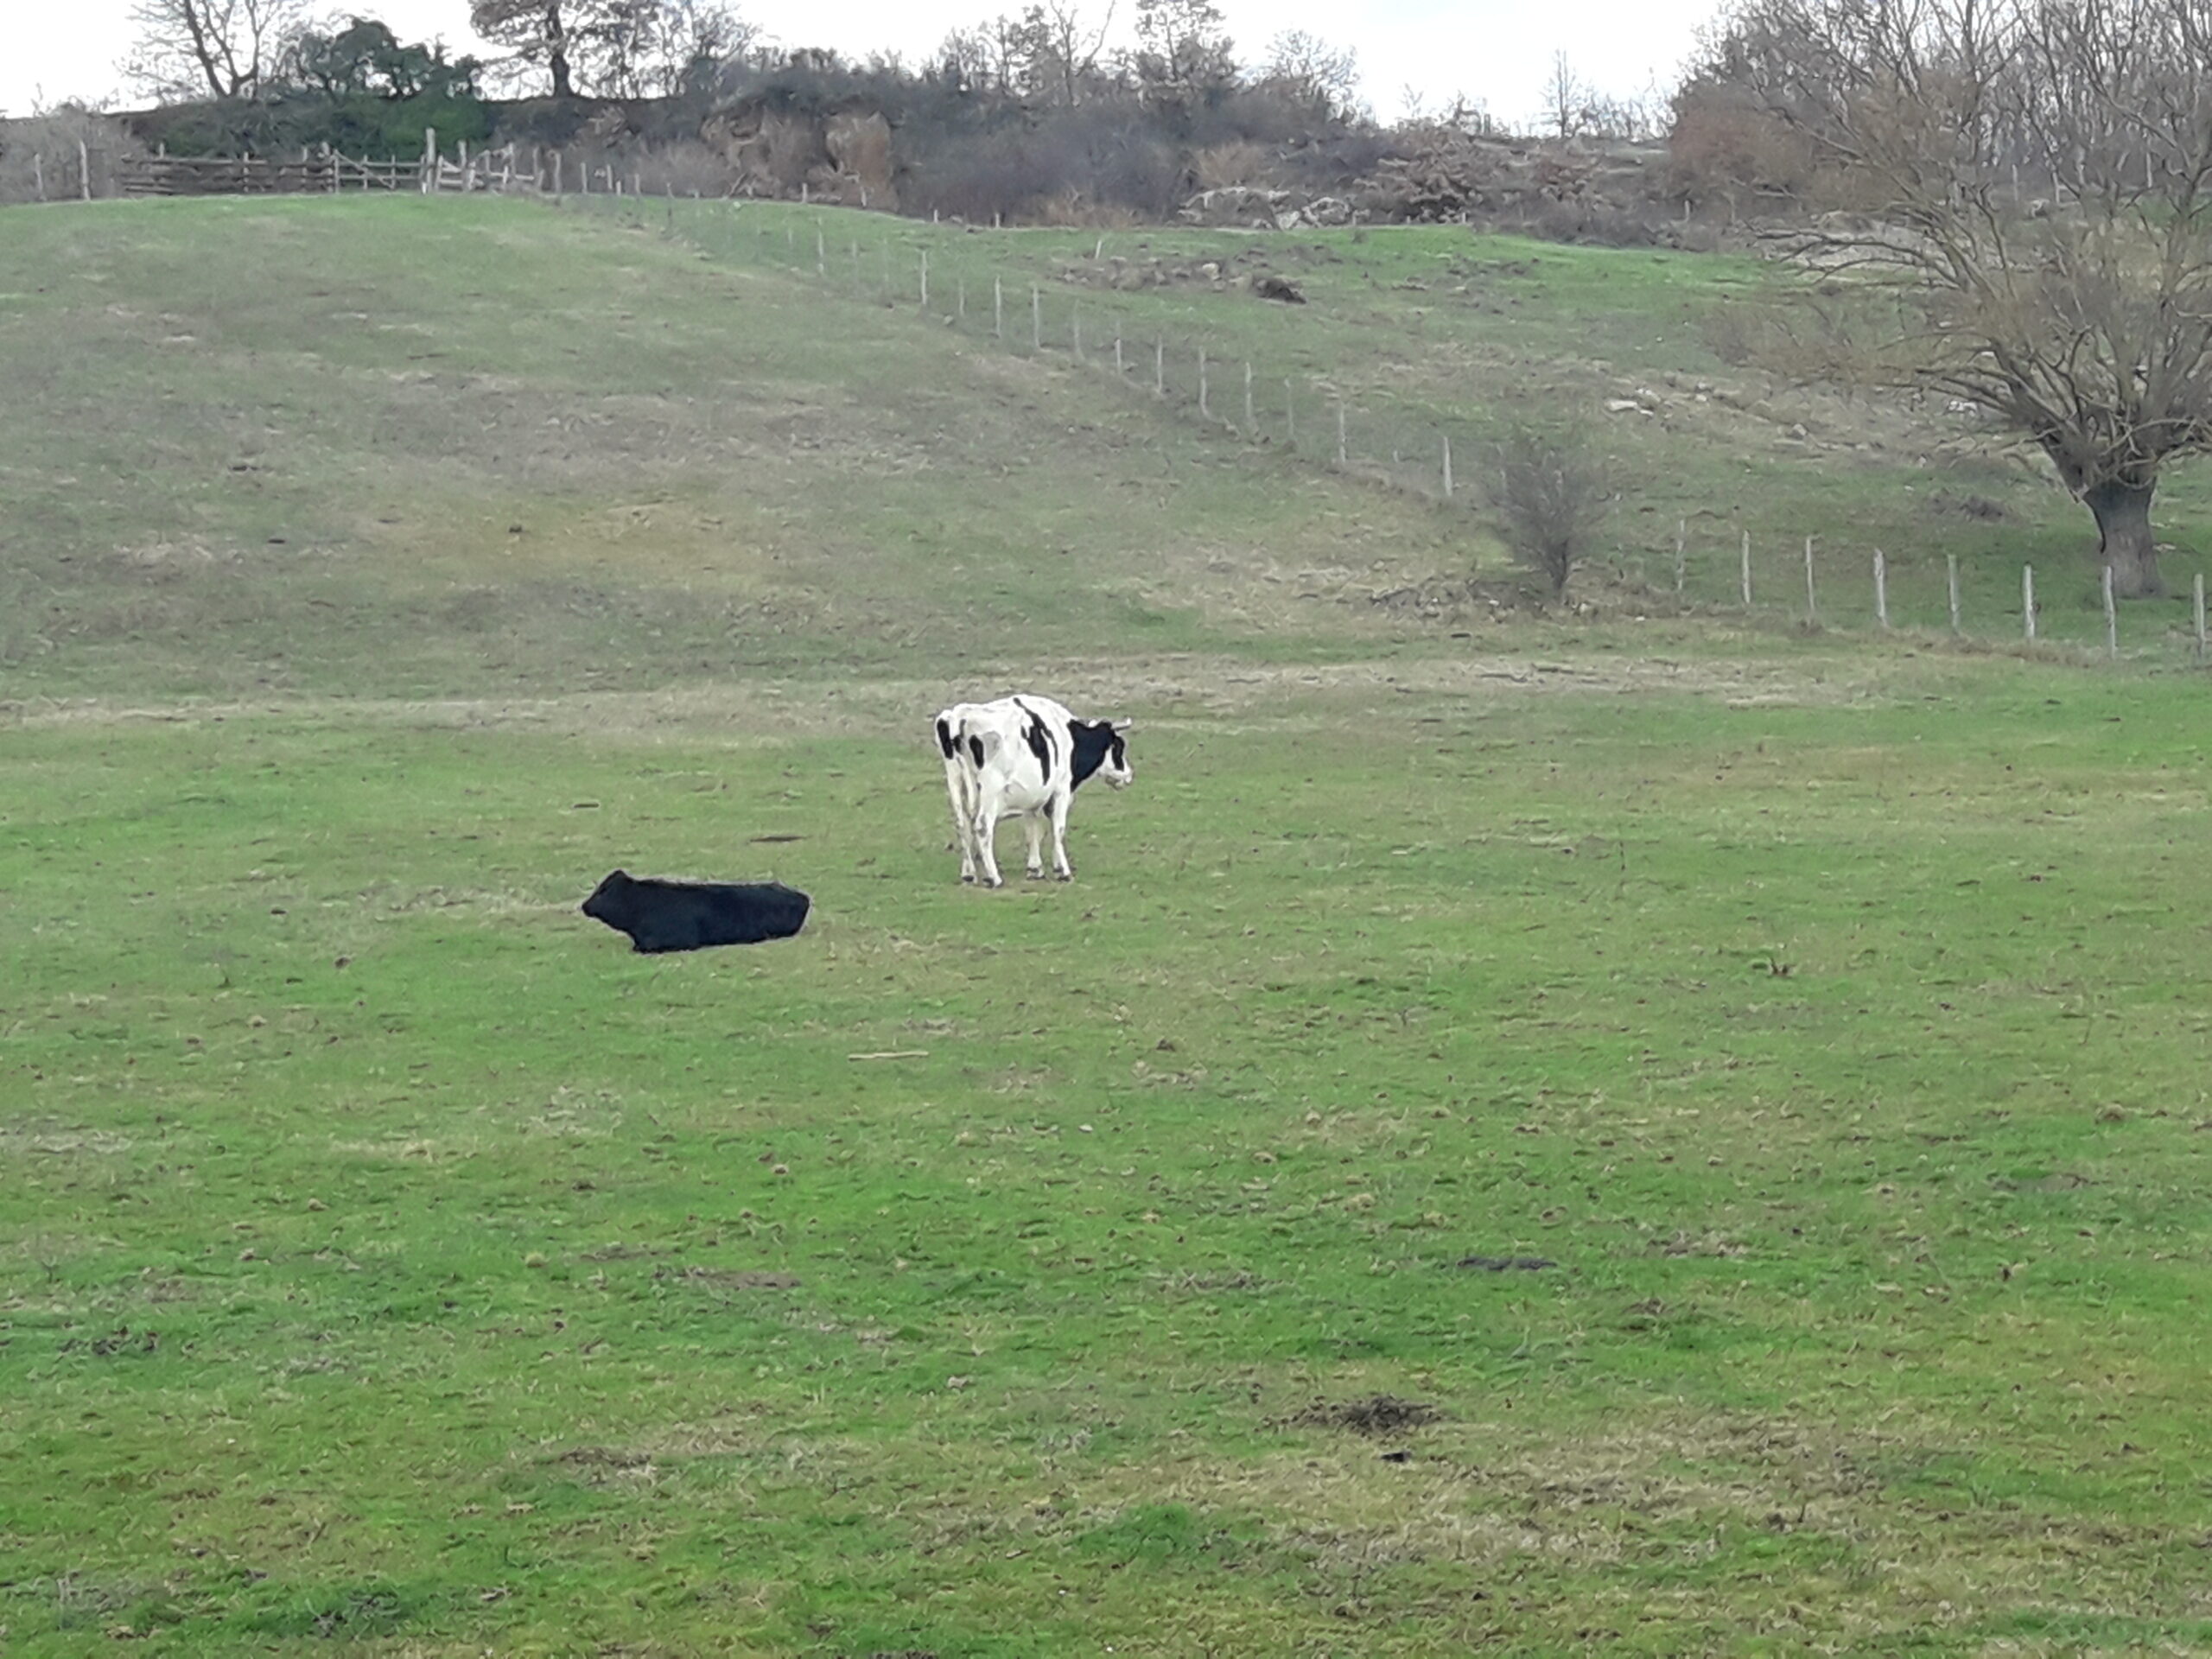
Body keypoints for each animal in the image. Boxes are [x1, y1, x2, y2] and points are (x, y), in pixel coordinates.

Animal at [938, 694, 1141, 889]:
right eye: (1119, 746)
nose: (1129, 774)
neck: (1068, 737)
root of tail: (960, 715)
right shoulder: (1061, 790)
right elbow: (1058, 829)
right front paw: (1063, 871)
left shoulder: (1033, 797)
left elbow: (1032, 830)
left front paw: (1035, 869)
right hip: (990, 790)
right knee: (982, 826)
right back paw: (994, 878)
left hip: (955, 782)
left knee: (962, 824)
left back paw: (969, 874)